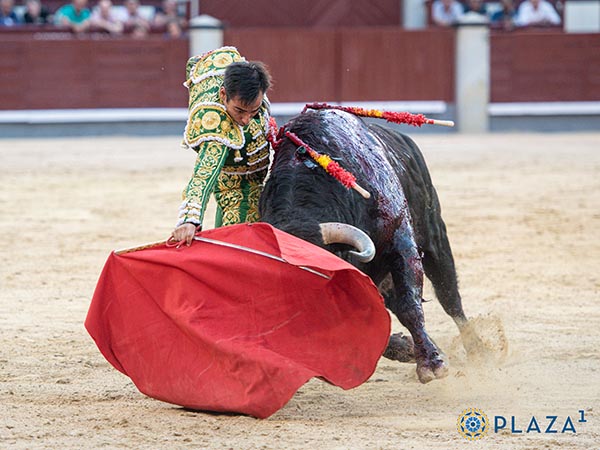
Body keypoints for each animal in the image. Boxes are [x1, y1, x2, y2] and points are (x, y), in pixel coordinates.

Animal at [259, 108, 484, 383]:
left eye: (321, 274)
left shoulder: (400, 239)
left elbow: (410, 305)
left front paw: (432, 363)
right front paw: (408, 349)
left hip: (435, 237)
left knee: (449, 296)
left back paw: (478, 349)